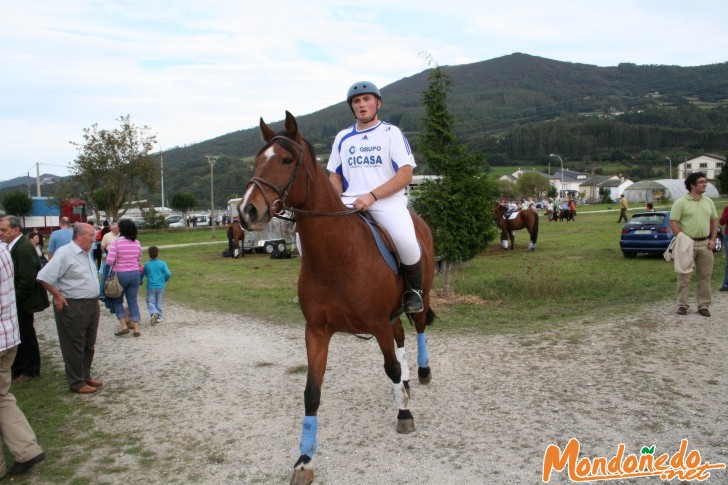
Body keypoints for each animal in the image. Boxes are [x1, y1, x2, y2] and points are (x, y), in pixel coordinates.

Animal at [239, 111, 436, 482]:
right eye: (256, 161)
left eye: (286, 160)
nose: (247, 211)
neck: (337, 254)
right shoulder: (317, 330)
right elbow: (311, 392)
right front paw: (304, 460)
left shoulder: (376, 323)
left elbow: (389, 366)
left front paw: (404, 415)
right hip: (390, 316)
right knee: (401, 338)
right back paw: (405, 385)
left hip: (418, 299)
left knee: (417, 328)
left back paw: (420, 373)